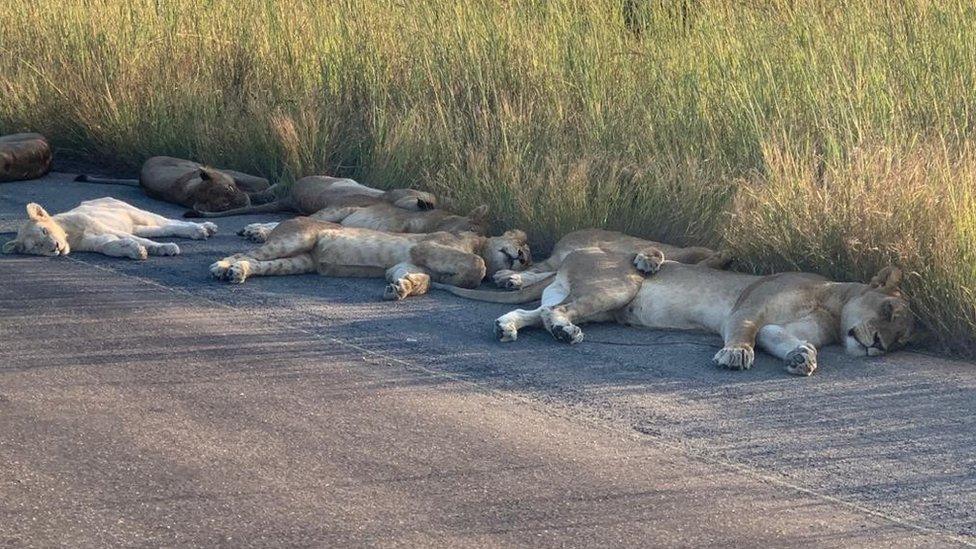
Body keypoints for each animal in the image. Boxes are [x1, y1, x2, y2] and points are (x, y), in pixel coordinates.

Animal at [2, 197, 217, 260]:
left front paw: (165, 248)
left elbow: (144, 241)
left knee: (170, 221)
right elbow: (109, 246)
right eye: (37, 247)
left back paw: (203, 228)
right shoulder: (95, 242)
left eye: (44, 231)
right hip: (138, 226)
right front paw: (135, 251)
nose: (55, 247)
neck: (69, 235)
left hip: (137, 213)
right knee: (164, 229)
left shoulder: (101, 226)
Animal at [75, 156, 274, 214]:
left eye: (229, 189)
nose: (241, 201)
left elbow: (257, 185)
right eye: (224, 205)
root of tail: (140, 179)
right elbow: (260, 185)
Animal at [210, 215, 528, 300]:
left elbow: (421, 280)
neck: (479, 242)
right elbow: (479, 265)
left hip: (297, 262)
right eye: (523, 245)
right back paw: (221, 267)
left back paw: (238, 272)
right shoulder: (426, 246)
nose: (521, 258)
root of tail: (289, 220)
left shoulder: (405, 263)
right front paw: (464, 277)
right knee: (244, 252)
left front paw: (401, 289)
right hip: (296, 238)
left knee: (258, 263)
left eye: (528, 258)